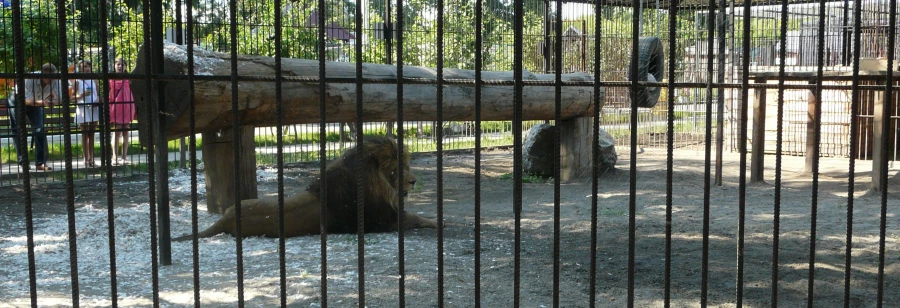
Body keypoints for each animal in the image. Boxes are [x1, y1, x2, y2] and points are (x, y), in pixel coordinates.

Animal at [174, 136, 438, 242]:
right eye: (395, 171)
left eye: (407, 166)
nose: (414, 181)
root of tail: (224, 218)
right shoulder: (383, 221)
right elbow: (416, 217)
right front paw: (438, 221)